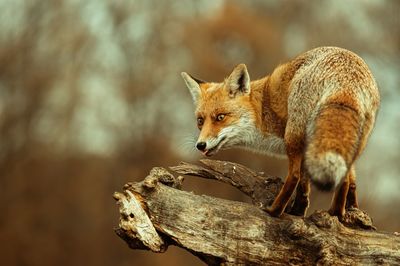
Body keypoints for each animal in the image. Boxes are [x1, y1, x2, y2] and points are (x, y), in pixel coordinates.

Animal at [182, 46, 382, 218]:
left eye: (220, 117)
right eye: (200, 121)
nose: (200, 145)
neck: (262, 109)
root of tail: (346, 77)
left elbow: (302, 180)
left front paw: (298, 211)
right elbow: (350, 181)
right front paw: (352, 212)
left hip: (292, 136)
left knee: (293, 176)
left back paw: (275, 211)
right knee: (345, 180)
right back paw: (337, 213)